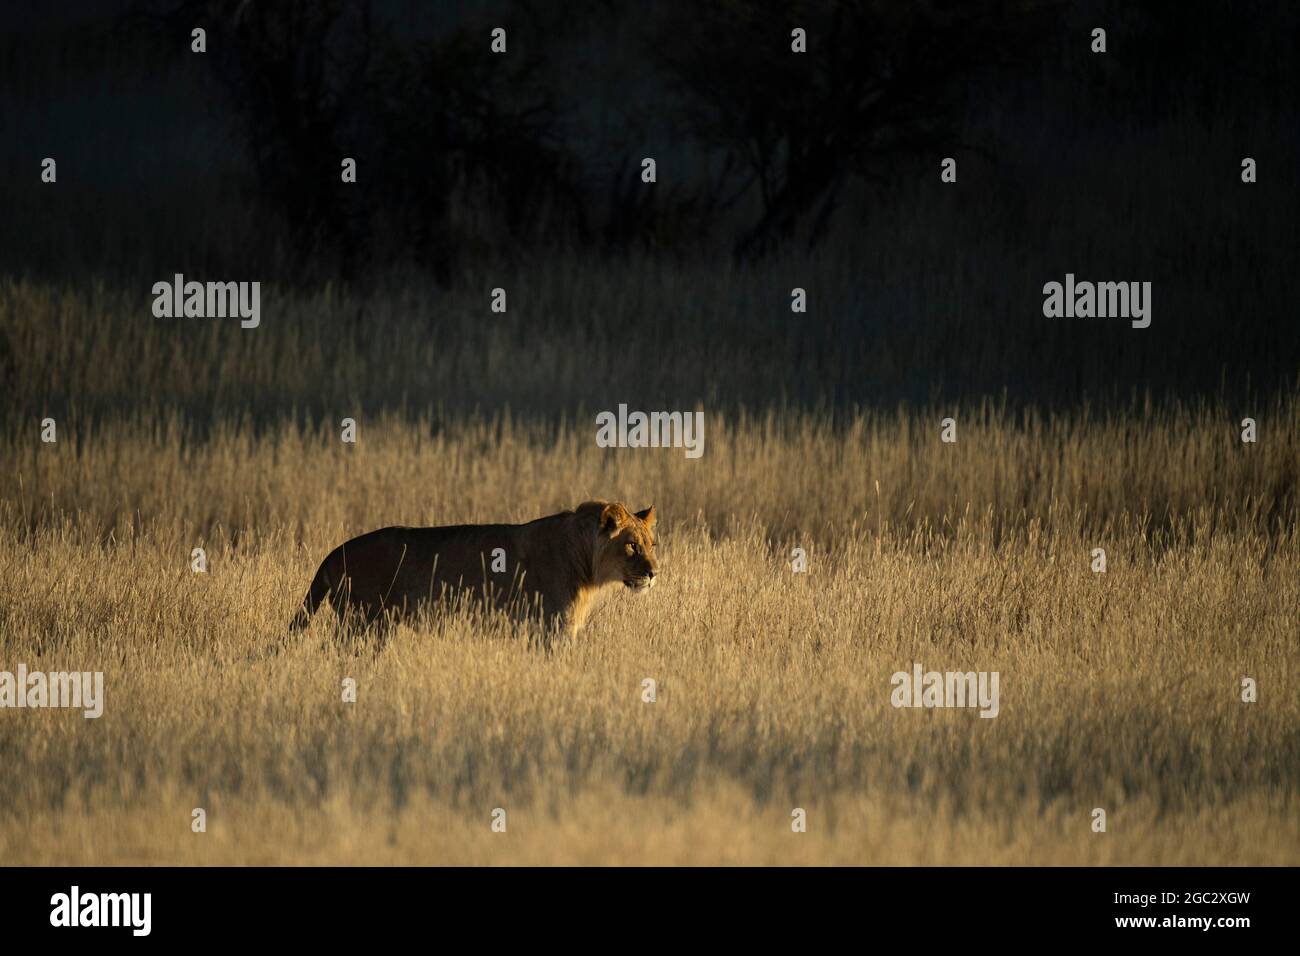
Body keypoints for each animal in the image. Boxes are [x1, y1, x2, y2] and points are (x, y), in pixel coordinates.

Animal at [288, 500, 658, 641]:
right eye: (631, 546)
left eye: (652, 544)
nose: (655, 573)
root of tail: (333, 553)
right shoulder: (552, 628)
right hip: (362, 624)